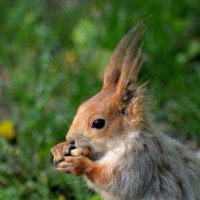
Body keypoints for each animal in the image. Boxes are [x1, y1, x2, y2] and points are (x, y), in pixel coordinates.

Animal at [51, 24, 200, 199]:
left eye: (98, 123)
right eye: (80, 107)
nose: (70, 139)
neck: (122, 141)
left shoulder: (140, 160)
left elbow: (116, 182)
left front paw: (79, 164)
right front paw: (60, 148)